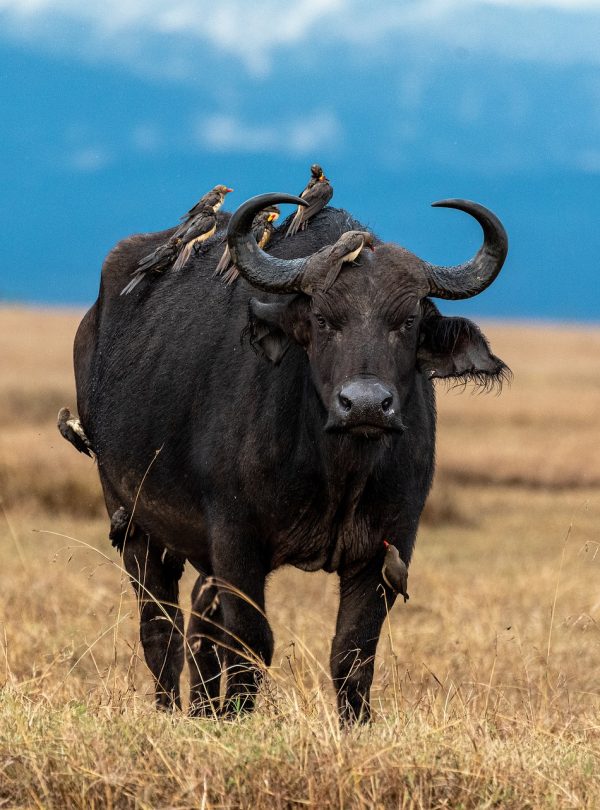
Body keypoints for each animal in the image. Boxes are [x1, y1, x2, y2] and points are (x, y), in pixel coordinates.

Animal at [72, 191, 508, 720]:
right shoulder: (236, 539)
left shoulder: (390, 546)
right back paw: (172, 709)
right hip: (132, 519)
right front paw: (238, 715)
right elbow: (250, 641)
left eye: (407, 321)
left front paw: (354, 723)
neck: (338, 471)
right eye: (322, 318)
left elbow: (352, 652)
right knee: (161, 626)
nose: (366, 404)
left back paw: (202, 710)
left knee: (198, 620)